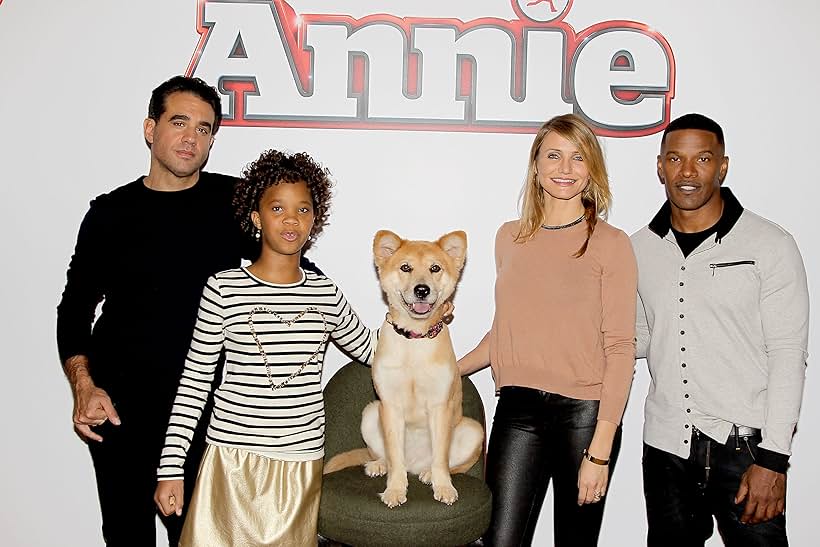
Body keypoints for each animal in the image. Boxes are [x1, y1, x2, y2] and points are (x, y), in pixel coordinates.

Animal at [324, 231, 484, 510]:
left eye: (435, 268)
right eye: (405, 267)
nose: (422, 290)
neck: (414, 340)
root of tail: (415, 465)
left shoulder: (440, 406)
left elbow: (441, 459)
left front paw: (443, 486)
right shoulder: (389, 405)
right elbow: (395, 457)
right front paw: (395, 489)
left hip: (473, 430)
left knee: (451, 465)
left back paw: (429, 474)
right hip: (371, 412)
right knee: (387, 457)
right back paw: (379, 465)